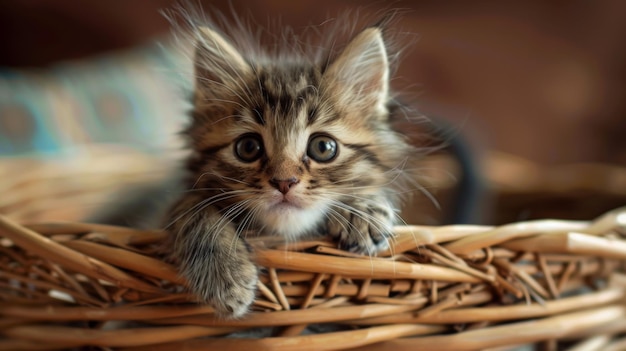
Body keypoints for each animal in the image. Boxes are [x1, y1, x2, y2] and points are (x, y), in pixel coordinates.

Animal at [165, 14, 420, 320]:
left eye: (323, 148)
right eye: (248, 148)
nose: (284, 182)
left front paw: (363, 210)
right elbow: (192, 208)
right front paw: (224, 275)